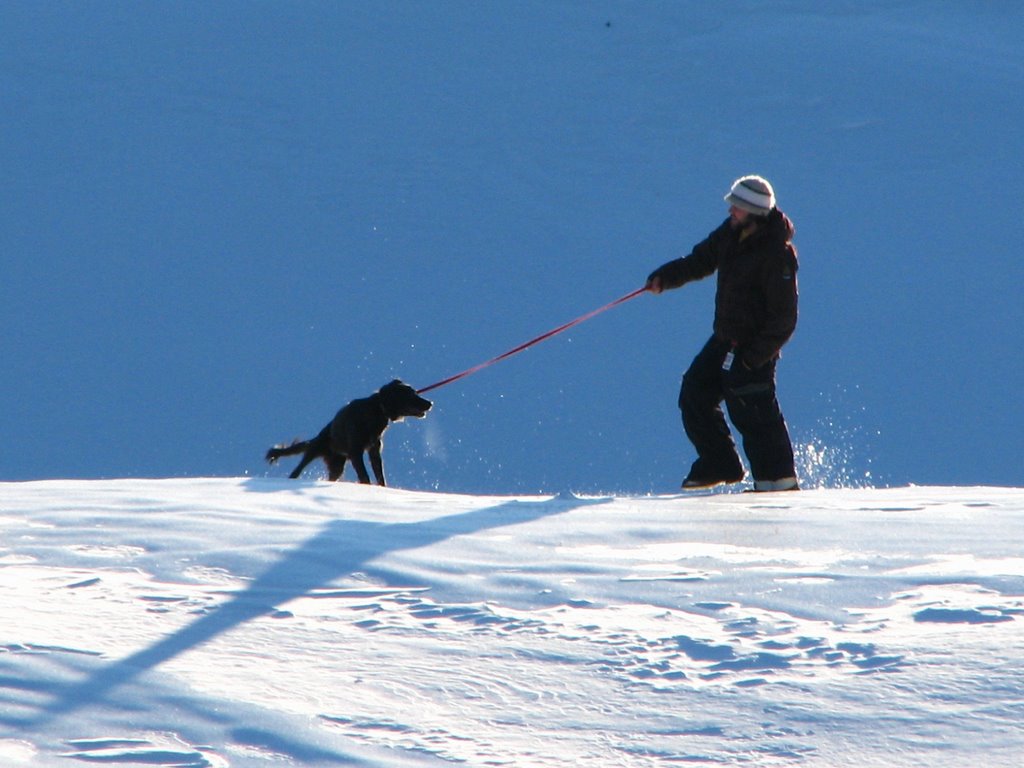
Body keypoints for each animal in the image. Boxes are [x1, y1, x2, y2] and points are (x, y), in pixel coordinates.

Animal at [266, 380, 430, 487]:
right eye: (410, 394)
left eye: (414, 392)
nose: (430, 403)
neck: (377, 410)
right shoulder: (356, 452)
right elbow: (364, 475)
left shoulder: (374, 451)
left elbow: (379, 475)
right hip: (314, 451)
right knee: (297, 470)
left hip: (337, 467)